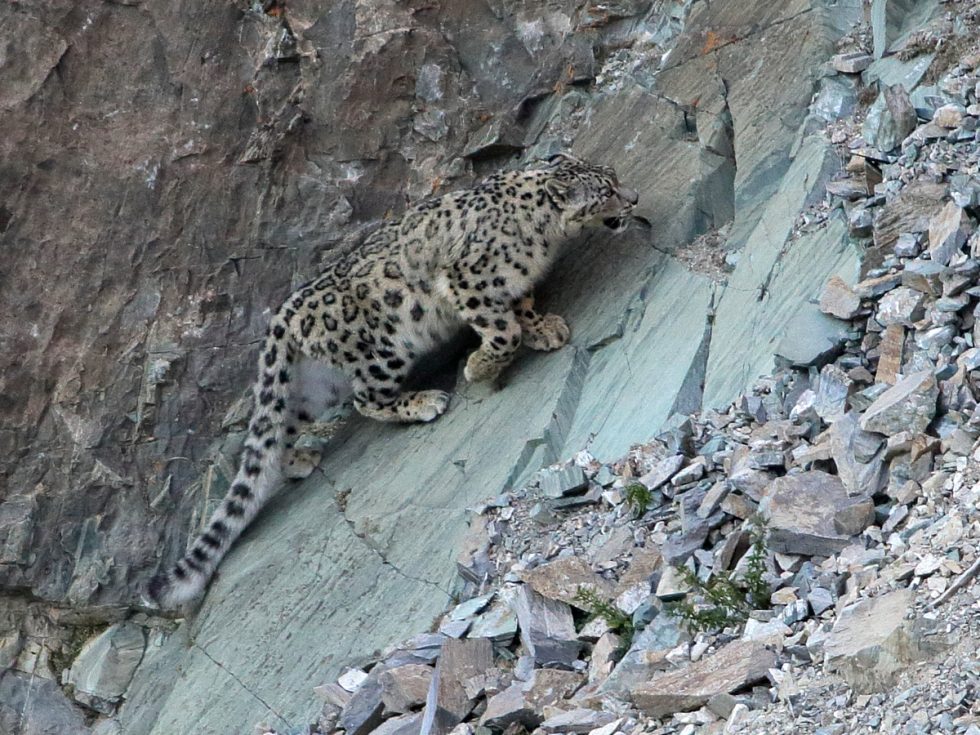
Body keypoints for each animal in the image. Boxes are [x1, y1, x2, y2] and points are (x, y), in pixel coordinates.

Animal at [146, 152, 638, 609]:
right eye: (606, 191)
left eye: (615, 179)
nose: (632, 200)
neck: (541, 233)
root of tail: (284, 312)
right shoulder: (469, 283)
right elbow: (503, 331)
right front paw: (480, 367)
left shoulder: (507, 287)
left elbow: (521, 309)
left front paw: (543, 328)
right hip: (381, 352)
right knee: (366, 400)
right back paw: (423, 402)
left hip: (312, 386)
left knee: (283, 427)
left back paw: (297, 460)